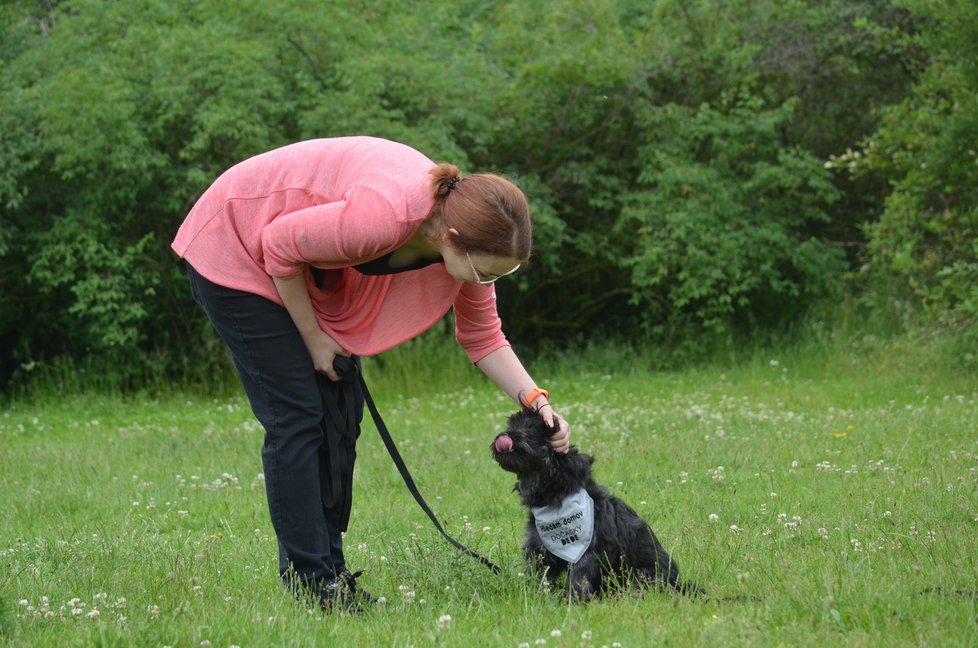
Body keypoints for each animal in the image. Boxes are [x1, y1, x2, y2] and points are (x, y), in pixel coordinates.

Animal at [492, 408, 696, 600]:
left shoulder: (589, 551)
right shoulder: (539, 550)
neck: (557, 493)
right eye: (512, 424)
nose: (504, 435)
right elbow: (542, 579)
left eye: (531, 427)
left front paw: (573, 601)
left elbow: (578, 578)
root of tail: (678, 584)